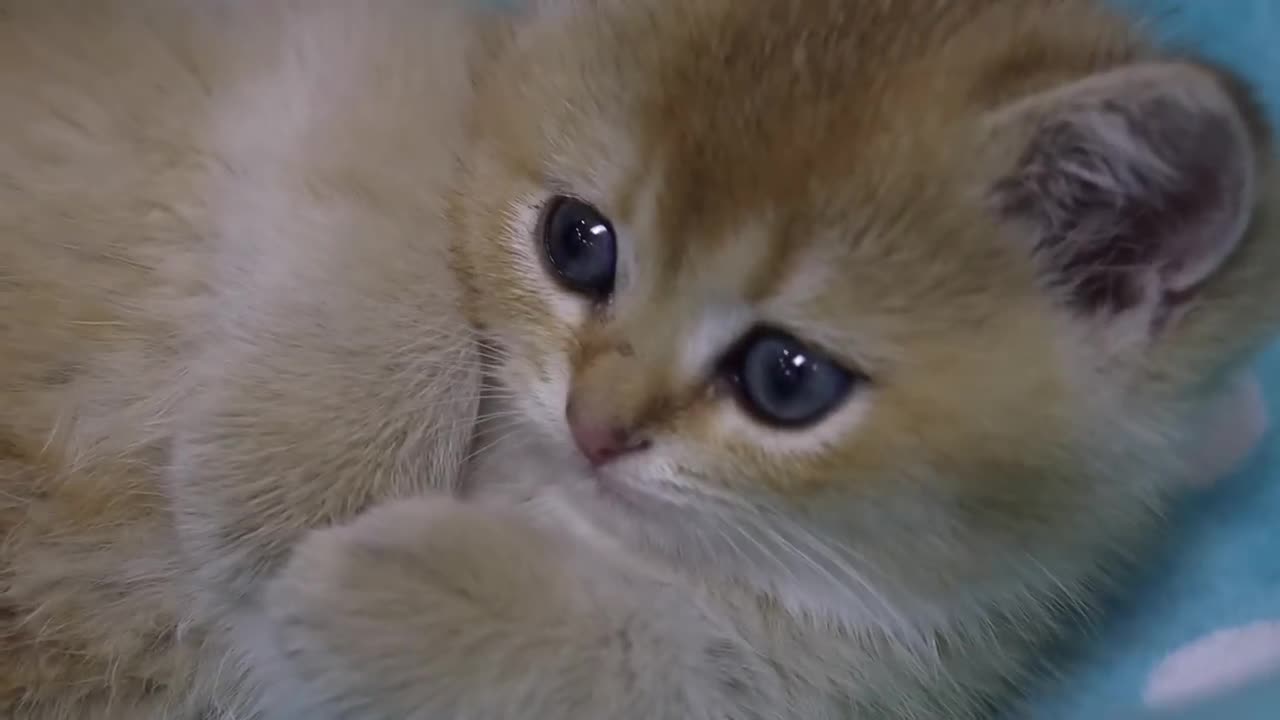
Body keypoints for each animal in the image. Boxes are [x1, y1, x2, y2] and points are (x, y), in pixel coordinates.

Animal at [0, 1, 1274, 717]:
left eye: (786, 380)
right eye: (578, 241)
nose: (594, 425)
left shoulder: (846, 670)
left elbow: (656, 654)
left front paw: (372, 588)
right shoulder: (370, 41)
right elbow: (386, 176)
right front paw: (305, 475)